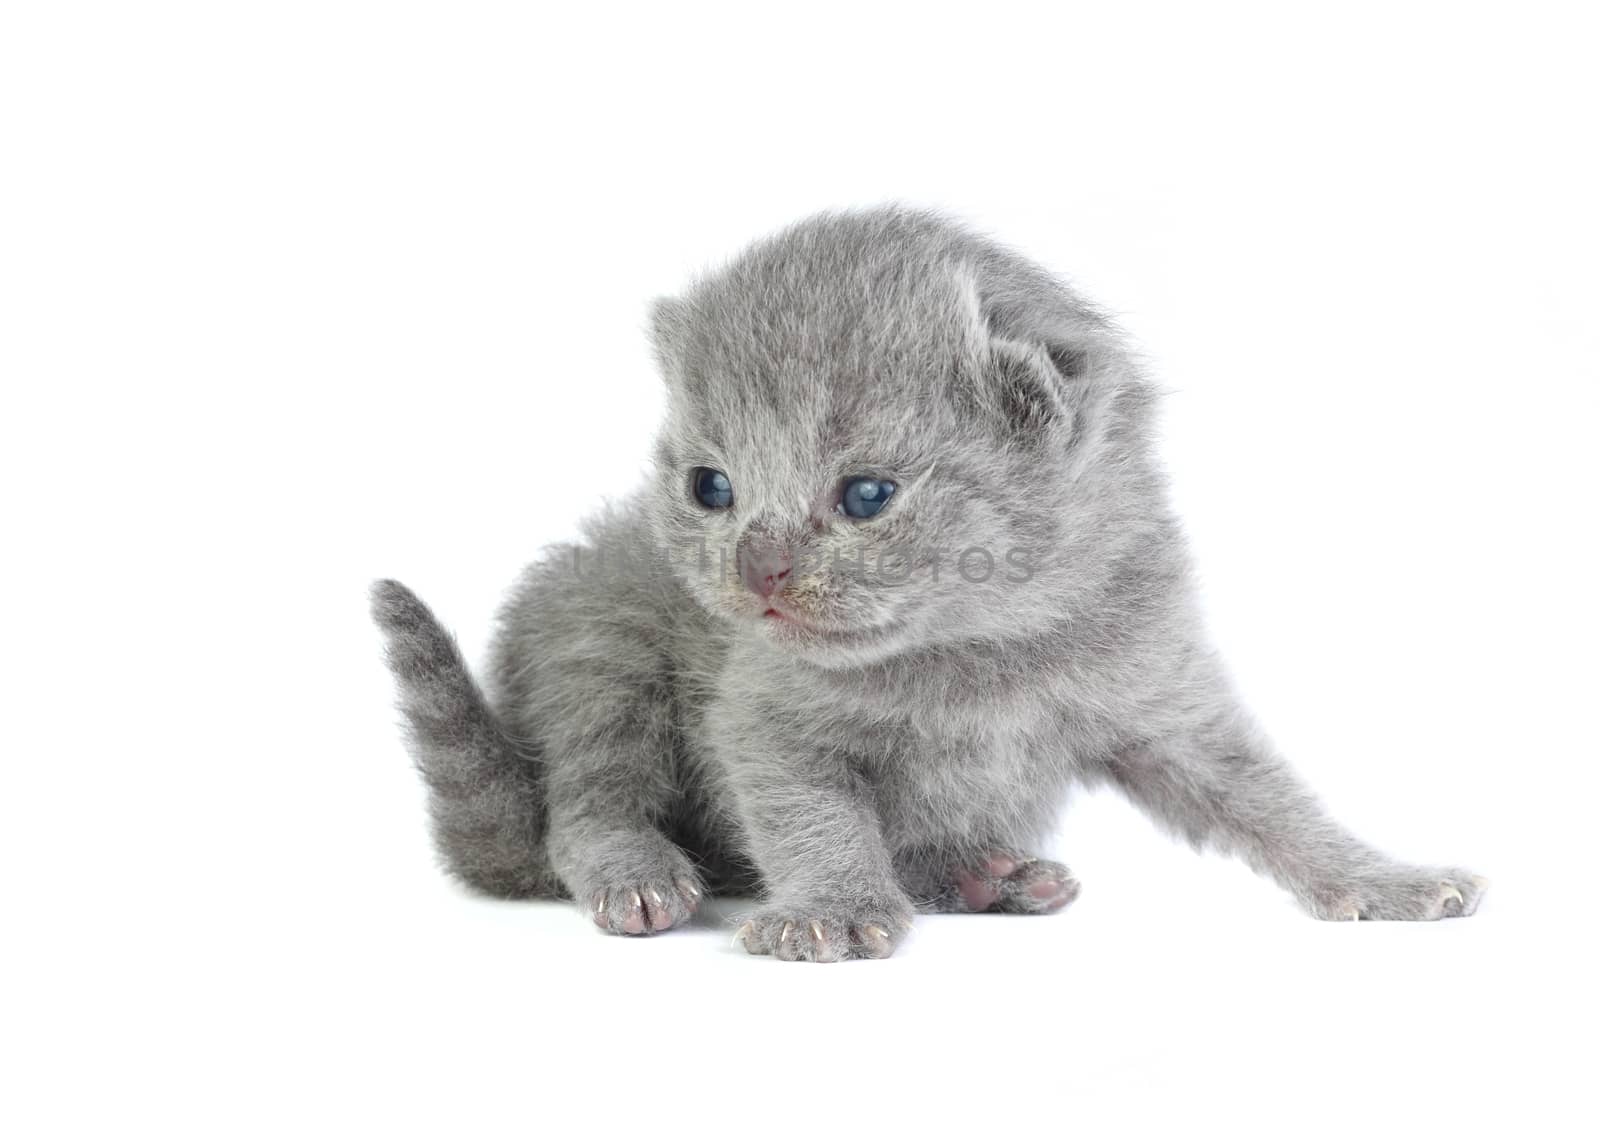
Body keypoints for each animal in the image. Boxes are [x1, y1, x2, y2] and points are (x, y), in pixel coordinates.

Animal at [371, 206, 1484, 959]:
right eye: (711, 486)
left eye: (866, 493)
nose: (758, 566)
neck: (980, 648)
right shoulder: (762, 718)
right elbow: (813, 813)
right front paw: (832, 906)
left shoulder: (1161, 692)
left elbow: (1271, 800)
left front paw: (1382, 877)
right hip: (599, 648)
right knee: (586, 801)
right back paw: (639, 873)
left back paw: (988, 873)